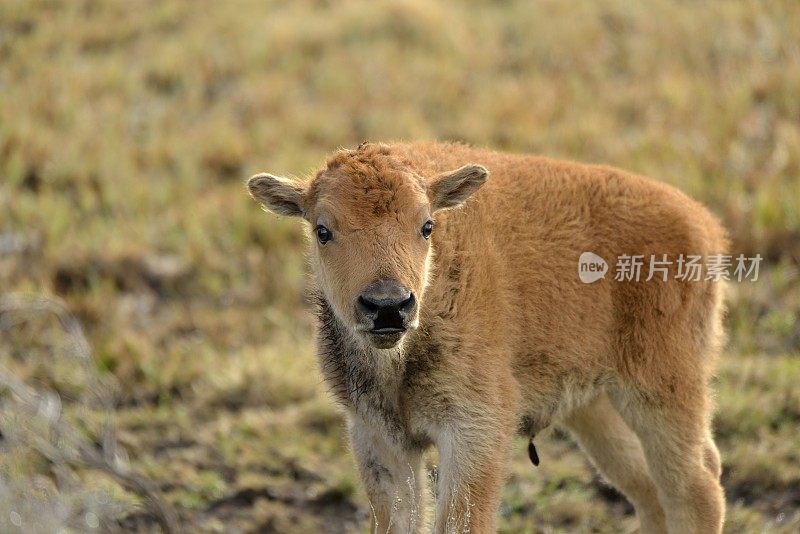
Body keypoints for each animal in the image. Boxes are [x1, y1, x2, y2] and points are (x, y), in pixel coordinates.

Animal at [247, 142, 728, 534]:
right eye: (322, 230)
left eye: (426, 225)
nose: (387, 306)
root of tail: (702, 223)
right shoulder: (378, 437)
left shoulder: (474, 429)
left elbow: (459, 522)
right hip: (595, 407)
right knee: (649, 489)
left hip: (660, 389)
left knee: (694, 485)